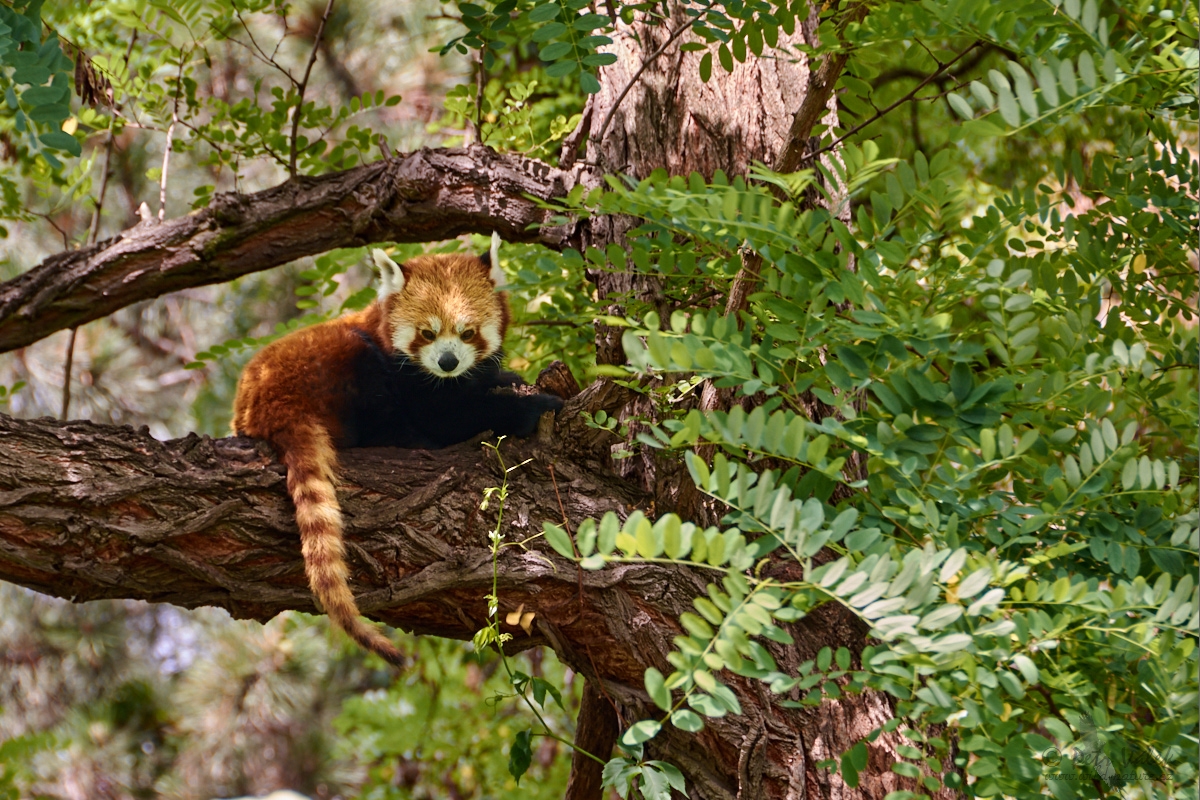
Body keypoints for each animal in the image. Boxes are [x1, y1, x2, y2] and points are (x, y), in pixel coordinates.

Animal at [232, 251, 561, 671]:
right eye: (427, 334)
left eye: (468, 333)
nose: (448, 362)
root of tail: (264, 407)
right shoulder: (407, 379)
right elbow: (450, 416)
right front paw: (533, 407)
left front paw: (509, 378)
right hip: (336, 366)